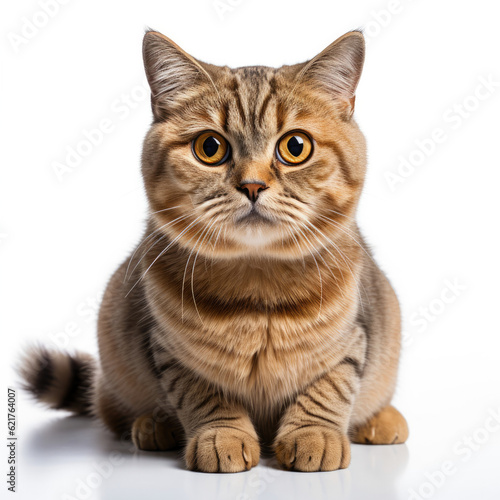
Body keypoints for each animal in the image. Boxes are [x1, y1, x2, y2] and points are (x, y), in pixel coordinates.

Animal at [20, 28, 410, 472]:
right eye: (210, 147)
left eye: (295, 147)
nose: (253, 185)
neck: (258, 286)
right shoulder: (171, 352)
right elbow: (203, 396)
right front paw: (221, 435)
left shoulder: (356, 336)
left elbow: (331, 387)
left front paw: (314, 434)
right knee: (110, 407)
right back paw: (153, 425)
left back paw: (382, 419)